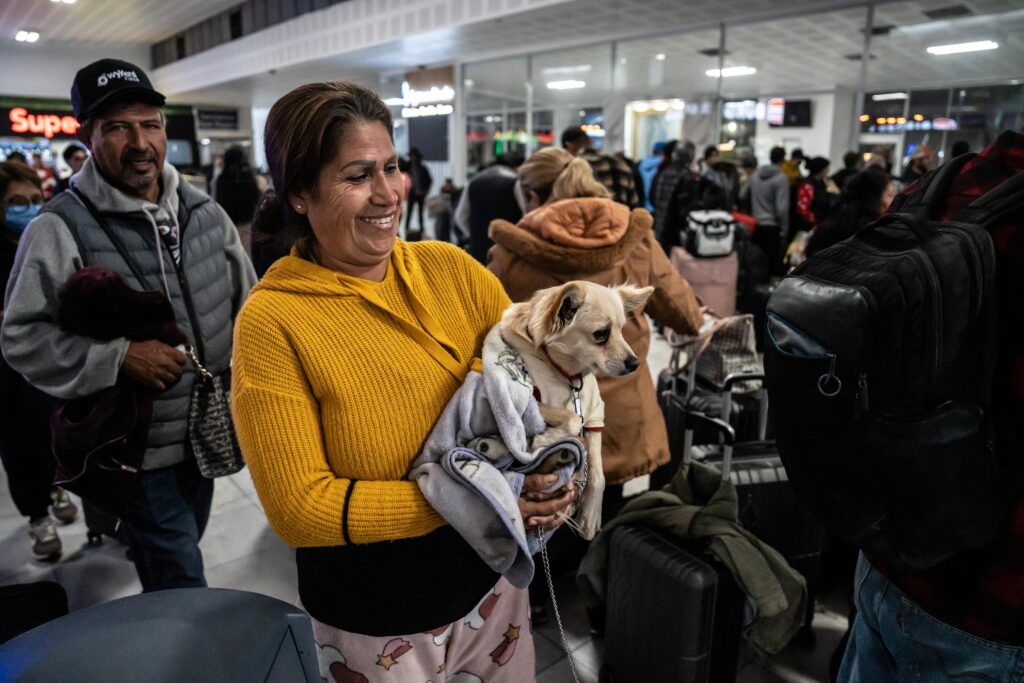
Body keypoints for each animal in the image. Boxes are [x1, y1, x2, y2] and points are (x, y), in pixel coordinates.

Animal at [499, 280, 651, 536]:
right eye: (601, 334)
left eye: (622, 330)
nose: (635, 363)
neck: (568, 375)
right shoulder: (528, 399)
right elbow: (571, 418)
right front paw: (543, 440)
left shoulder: (594, 415)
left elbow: (598, 473)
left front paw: (590, 514)